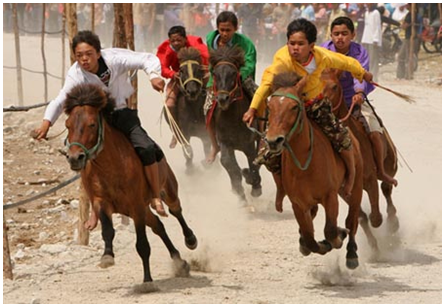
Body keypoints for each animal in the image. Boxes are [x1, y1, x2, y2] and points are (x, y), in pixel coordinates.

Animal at [62, 84, 196, 292]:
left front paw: (147, 281)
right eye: (68, 124)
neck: (110, 166)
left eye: (92, 124)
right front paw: (107, 257)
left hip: (167, 191)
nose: (75, 157)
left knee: (176, 211)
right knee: (158, 225)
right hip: (138, 210)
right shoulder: (103, 203)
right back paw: (180, 263)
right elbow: (108, 231)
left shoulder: (136, 206)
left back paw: (190, 240)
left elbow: (142, 245)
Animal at [264, 72, 360, 270]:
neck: (304, 166)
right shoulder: (298, 203)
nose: (273, 141)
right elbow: (309, 238)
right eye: (269, 106)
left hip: (354, 188)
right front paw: (317, 244)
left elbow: (330, 230)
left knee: (352, 219)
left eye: (294, 107)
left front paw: (338, 236)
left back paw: (352, 253)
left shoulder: (330, 196)